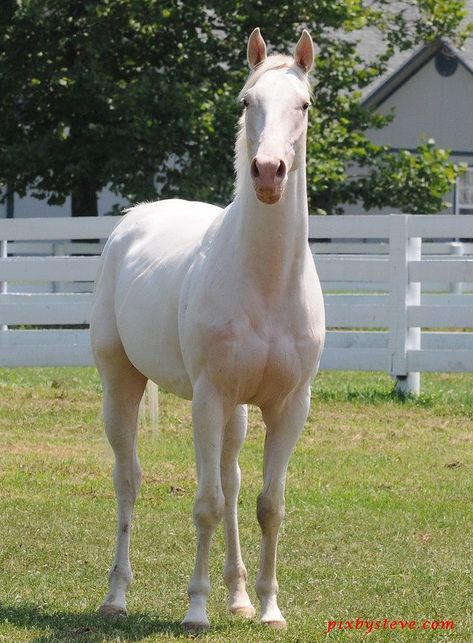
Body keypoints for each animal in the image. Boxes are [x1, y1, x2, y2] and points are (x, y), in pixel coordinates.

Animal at [90, 27, 322, 632]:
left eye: (304, 105)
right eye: (246, 102)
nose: (268, 172)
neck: (265, 282)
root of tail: (134, 219)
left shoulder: (290, 405)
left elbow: (268, 505)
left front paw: (268, 608)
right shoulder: (208, 398)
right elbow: (207, 504)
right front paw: (196, 609)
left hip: (237, 411)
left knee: (233, 480)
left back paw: (238, 598)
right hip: (121, 384)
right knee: (129, 481)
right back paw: (116, 595)